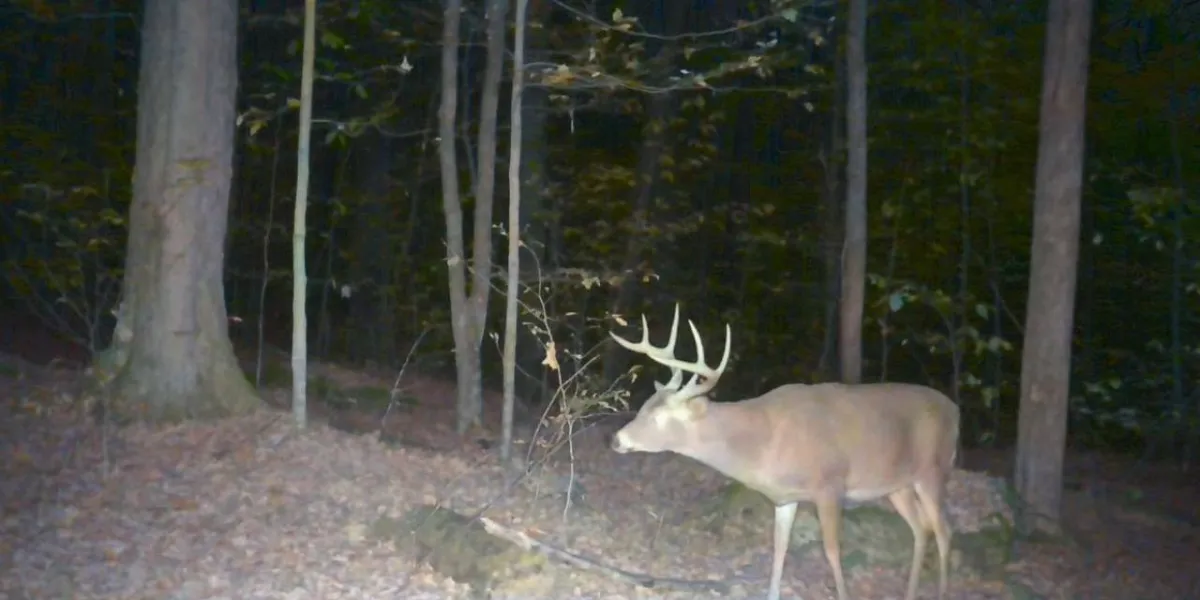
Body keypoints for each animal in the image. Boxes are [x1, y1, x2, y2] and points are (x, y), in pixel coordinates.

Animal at [608, 304, 959, 600]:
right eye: (643, 406)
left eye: (659, 417)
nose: (617, 440)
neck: (763, 445)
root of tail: (956, 410)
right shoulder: (785, 497)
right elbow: (780, 548)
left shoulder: (830, 485)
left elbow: (832, 550)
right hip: (898, 485)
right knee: (921, 529)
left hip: (934, 469)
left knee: (944, 530)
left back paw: (943, 591)